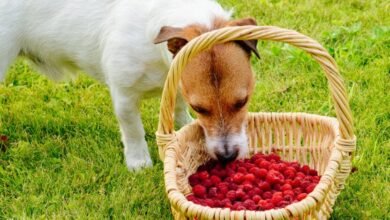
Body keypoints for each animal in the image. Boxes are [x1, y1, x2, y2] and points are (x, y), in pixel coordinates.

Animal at [0, 0, 258, 170]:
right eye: (200, 108)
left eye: (242, 102)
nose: (227, 156)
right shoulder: (124, 96)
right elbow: (134, 130)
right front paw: (139, 162)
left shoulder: (176, 81)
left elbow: (178, 109)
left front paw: (185, 128)